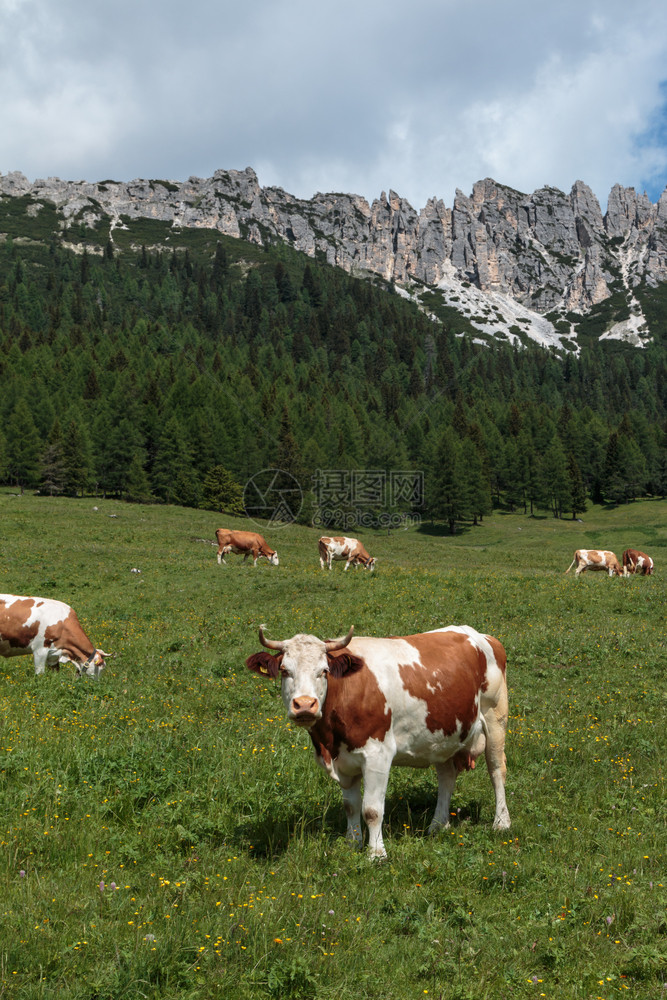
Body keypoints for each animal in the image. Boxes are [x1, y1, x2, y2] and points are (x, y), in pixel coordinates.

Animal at [247, 620, 512, 856]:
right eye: (285, 671)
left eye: (323, 671)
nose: (304, 705)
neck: (329, 740)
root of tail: (480, 635)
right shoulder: (344, 761)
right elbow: (350, 806)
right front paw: (352, 844)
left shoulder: (378, 755)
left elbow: (372, 810)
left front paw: (376, 854)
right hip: (443, 735)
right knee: (446, 777)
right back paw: (438, 825)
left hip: (495, 717)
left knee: (496, 769)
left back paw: (501, 822)